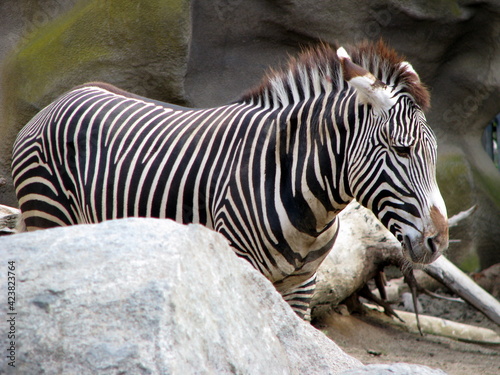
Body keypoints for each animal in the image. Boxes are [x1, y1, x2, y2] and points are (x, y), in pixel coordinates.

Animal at [11, 41, 450, 320]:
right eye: (402, 150)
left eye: (434, 153)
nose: (439, 241)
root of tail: (62, 98)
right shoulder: (239, 264)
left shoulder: (302, 286)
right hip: (47, 213)